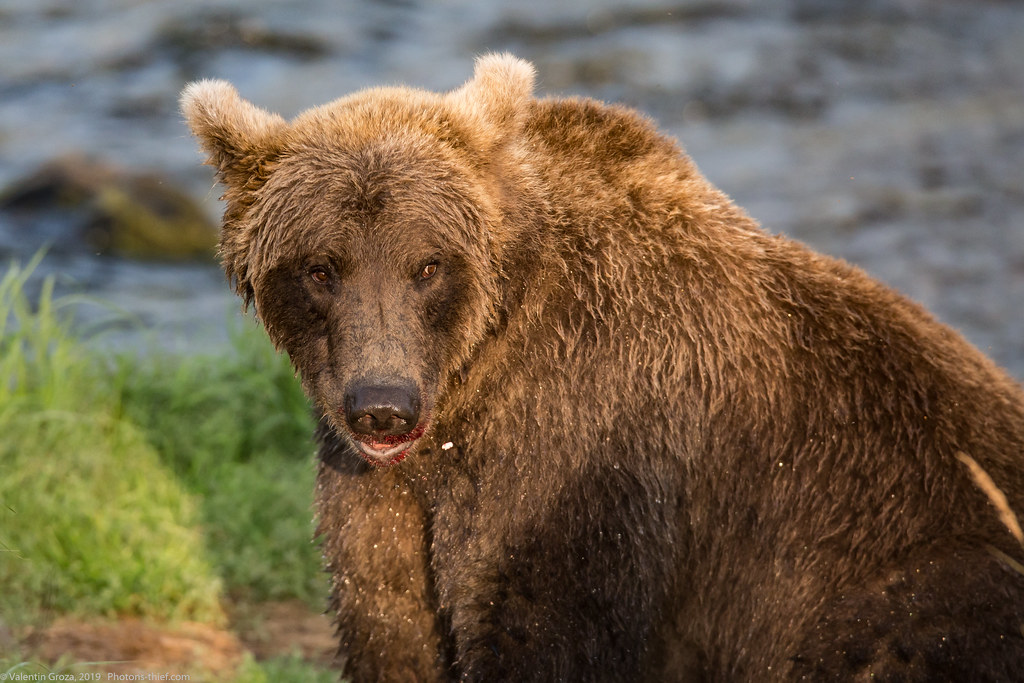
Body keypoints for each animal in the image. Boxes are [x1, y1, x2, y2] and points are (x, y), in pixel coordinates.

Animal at [181, 54, 1024, 681]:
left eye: (427, 264)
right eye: (322, 267)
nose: (382, 405)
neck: (469, 388)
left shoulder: (587, 456)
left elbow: (543, 626)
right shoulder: (384, 499)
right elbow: (389, 621)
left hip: (910, 564)